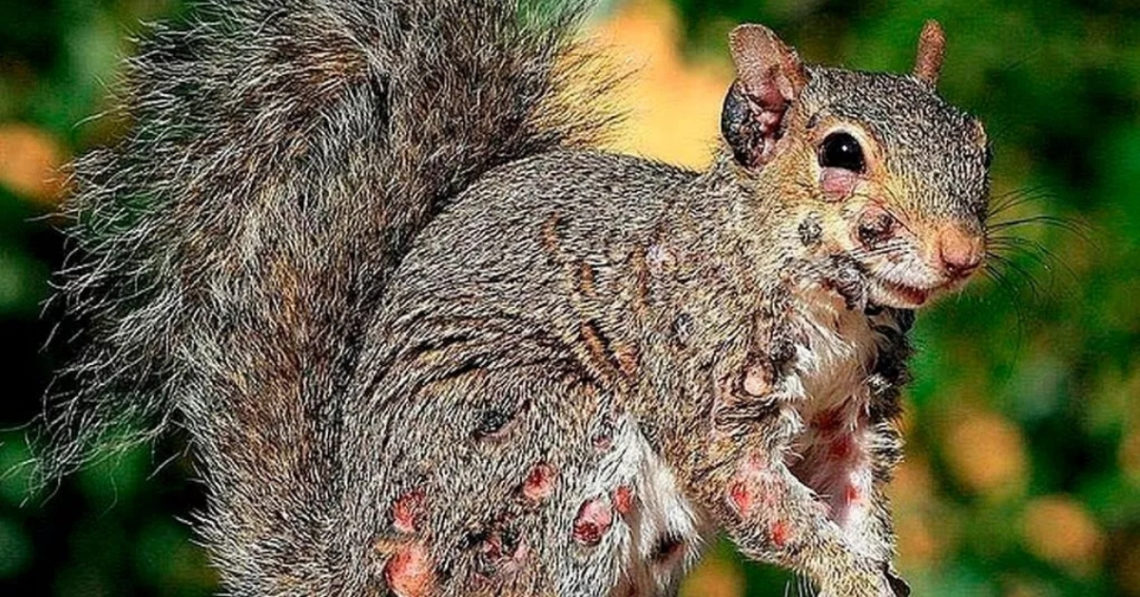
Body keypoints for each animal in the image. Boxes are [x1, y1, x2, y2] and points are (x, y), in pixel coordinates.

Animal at [36, 0, 992, 595]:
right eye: (840, 152)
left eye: (978, 142)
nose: (963, 252)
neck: (833, 309)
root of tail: (362, 555)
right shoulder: (702, 379)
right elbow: (764, 499)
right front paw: (851, 572)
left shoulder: (851, 416)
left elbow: (852, 500)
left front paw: (875, 568)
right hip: (541, 442)